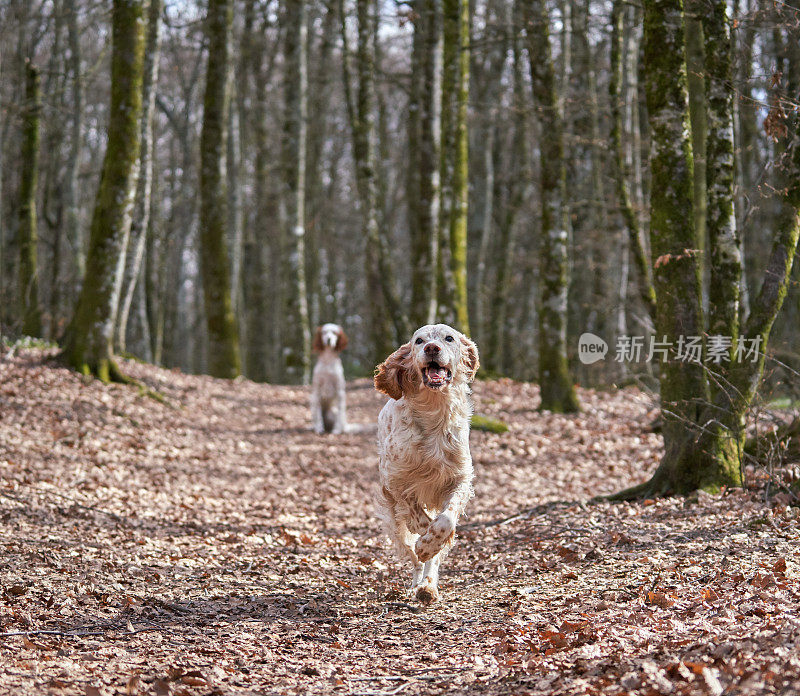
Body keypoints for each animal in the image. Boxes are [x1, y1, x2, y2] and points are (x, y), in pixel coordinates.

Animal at [374, 324, 478, 600]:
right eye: (419, 341)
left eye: (449, 338)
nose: (432, 348)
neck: (434, 411)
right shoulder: (395, 480)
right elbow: (419, 518)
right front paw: (424, 540)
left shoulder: (460, 479)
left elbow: (445, 521)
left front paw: (432, 542)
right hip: (393, 519)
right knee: (412, 555)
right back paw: (418, 578)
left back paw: (428, 587)